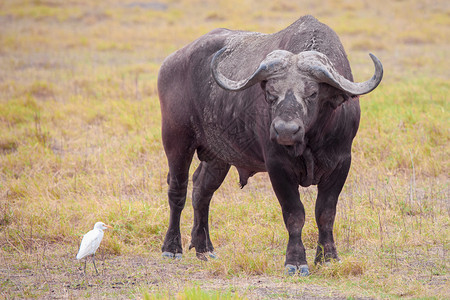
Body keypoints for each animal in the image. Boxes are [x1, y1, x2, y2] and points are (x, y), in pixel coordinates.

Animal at [158, 15, 384, 276]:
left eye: (313, 93)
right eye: (270, 93)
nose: (285, 130)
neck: (310, 141)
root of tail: (171, 62)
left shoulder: (341, 163)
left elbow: (326, 213)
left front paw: (328, 258)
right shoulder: (278, 166)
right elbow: (294, 213)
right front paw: (296, 262)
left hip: (218, 156)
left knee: (202, 191)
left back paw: (204, 249)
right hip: (176, 140)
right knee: (178, 191)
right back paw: (172, 248)